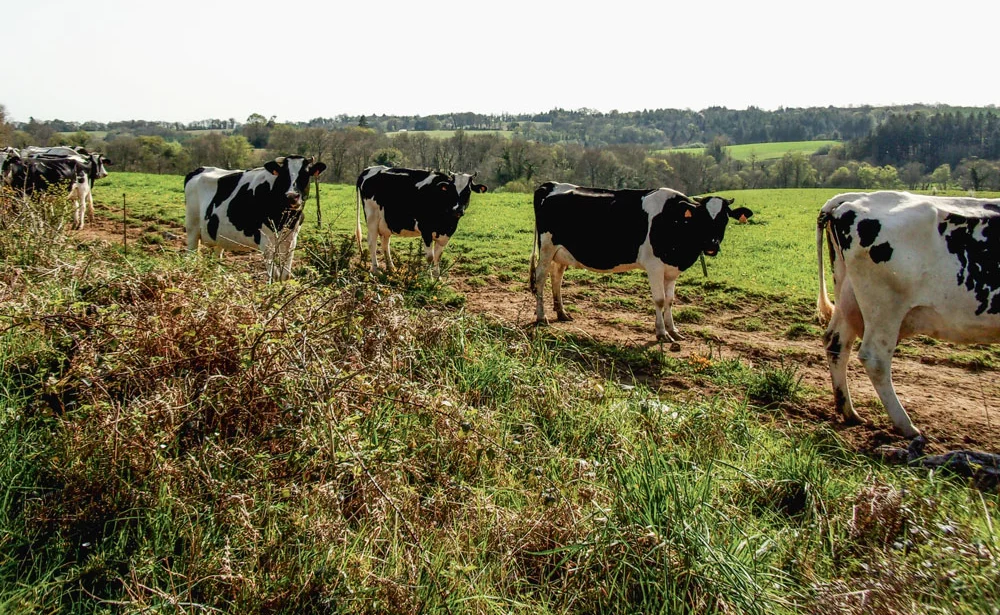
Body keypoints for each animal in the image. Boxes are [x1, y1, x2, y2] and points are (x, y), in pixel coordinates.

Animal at [184, 155, 328, 282]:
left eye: (305, 174)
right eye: (283, 175)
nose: (292, 196)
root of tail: (200, 169)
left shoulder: (291, 239)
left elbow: (285, 275)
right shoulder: (265, 241)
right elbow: (274, 275)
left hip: (218, 235)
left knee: (216, 259)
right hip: (192, 229)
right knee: (191, 256)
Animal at [356, 166, 488, 276]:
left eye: (468, 191)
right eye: (451, 190)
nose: (457, 210)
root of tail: (368, 169)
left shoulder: (446, 234)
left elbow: (438, 256)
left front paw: (437, 277)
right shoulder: (426, 230)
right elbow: (430, 257)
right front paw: (429, 278)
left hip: (385, 222)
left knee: (385, 243)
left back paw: (391, 268)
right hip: (372, 218)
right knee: (372, 242)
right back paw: (375, 269)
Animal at [532, 183, 752, 342]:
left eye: (725, 218)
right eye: (702, 217)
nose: (711, 245)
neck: (674, 220)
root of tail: (551, 185)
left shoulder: (671, 270)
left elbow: (670, 300)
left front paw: (674, 330)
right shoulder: (654, 266)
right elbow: (660, 300)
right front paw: (662, 333)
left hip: (561, 252)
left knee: (557, 277)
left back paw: (562, 313)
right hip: (546, 248)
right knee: (540, 278)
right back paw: (542, 317)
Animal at [816, 191, 1000, 438]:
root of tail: (853, 198)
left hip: (848, 295)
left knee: (836, 343)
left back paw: (849, 412)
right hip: (884, 307)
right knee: (875, 358)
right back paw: (906, 426)